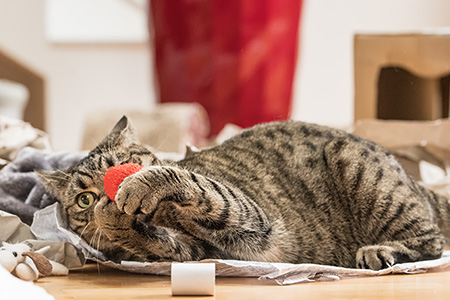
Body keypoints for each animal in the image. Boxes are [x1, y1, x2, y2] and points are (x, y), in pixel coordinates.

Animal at [38, 116, 450, 270]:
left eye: (126, 161)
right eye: (84, 198)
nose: (108, 190)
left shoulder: (247, 215)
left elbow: (197, 184)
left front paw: (141, 184)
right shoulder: (194, 252)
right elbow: (154, 240)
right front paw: (112, 219)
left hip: (360, 170)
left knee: (432, 241)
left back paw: (382, 250)